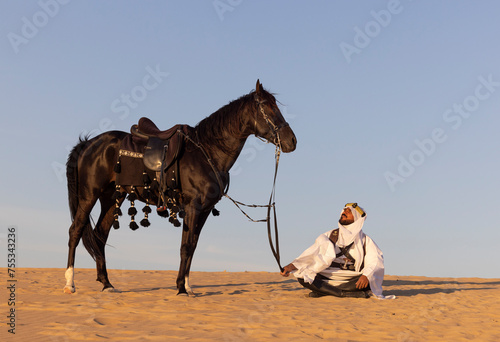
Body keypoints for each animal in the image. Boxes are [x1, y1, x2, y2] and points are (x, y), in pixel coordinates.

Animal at [64, 80, 294, 294]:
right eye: (267, 107)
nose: (292, 141)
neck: (207, 151)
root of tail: (88, 144)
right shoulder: (193, 206)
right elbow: (186, 246)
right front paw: (181, 289)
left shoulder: (204, 209)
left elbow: (192, 245)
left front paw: (187, 286)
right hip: (89, 196)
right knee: (75, 231)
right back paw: (70, 284)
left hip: (111, 198)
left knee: (99, 236)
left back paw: (107, 284)